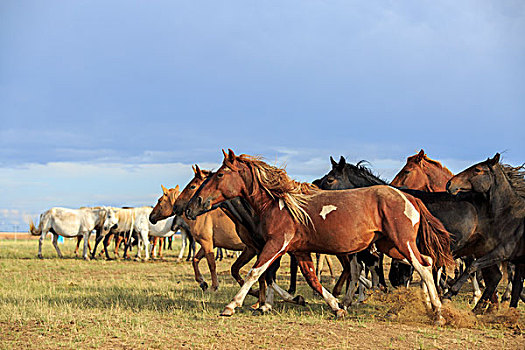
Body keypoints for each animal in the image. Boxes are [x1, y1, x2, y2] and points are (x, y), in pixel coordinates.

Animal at [186, 149, 452, 322]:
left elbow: (255, 272)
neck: (280, 204)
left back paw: (438, 314)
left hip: (401, 242)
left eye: (220, 175)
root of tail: (409, 197)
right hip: (391, 246)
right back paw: (429, 305)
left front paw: (232, 305)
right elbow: (310, 278)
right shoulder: (299, 250)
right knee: (426, 263)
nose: (192, 206)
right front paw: (336, 307)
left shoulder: (276, 244)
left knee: (422, 267)